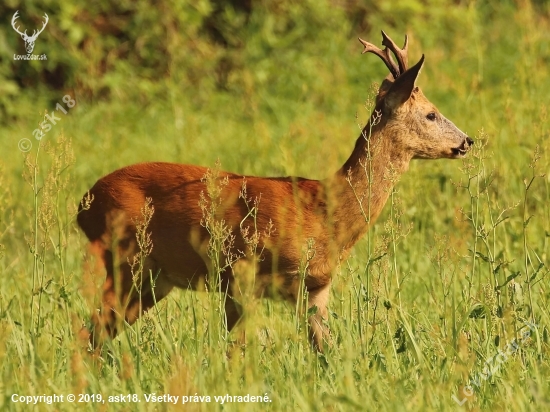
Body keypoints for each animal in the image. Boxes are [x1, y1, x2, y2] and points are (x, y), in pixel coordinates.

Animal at [76, 31, 474, 350]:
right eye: (431, 114)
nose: (468, 141)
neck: (325, 211)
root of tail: (83, 206)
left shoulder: (314, 289)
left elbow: (325, 351)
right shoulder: (240, 275)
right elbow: (235, 351)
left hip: (151, 280)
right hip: (127, 259)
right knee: (87, 331)